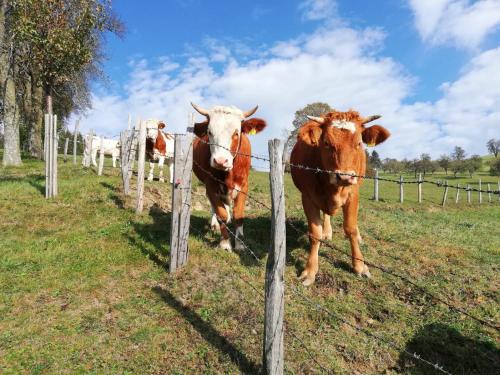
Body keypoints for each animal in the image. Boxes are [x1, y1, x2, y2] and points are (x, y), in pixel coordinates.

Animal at [191, 102, 268, 253]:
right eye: (209, 132)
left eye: (236, 133)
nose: (220, 161)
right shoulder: (211, 185)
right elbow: (221, 213)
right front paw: (225, 243)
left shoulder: (243, 186)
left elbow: (239, 215)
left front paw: (240, 244)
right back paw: (214, 224)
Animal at [290, 110, 390, 286]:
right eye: (326, 143)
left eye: (359, 143)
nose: (344, 176)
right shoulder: (307, 197)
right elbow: (314, 233)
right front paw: (310, 271)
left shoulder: (353, 194)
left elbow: (350, 228)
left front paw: (359, 265)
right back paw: (327, 232)